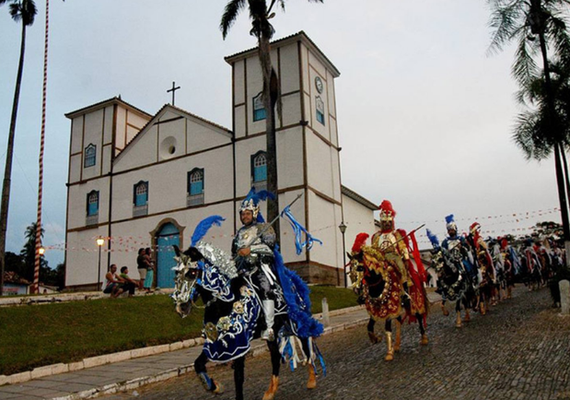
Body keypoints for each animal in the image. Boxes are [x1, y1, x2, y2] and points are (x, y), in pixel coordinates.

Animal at [169, 241, 322, 400]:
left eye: (192, 273)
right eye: (176, 273)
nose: (181, 307)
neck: (225, 300)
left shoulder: (239, 343)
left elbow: (238, 376)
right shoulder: (217, 343)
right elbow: (198, 364)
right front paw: (214, 387)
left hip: (296, 323)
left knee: (306, 345)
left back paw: (311, 380)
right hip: (273, 334)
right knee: (275, 357)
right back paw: (270, 392)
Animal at [346, 234, 426, 362]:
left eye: (360, 268)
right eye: (350, 270)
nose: (356, 289)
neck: (378, 284)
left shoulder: (390, 308)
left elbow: (387, 328)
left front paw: (389, 353)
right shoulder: (375, 311)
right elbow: (369, 326)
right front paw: (375, 339)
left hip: (413, 302)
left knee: (418, 316)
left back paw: (423, 338)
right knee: (398, 321)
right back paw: (397, 345)